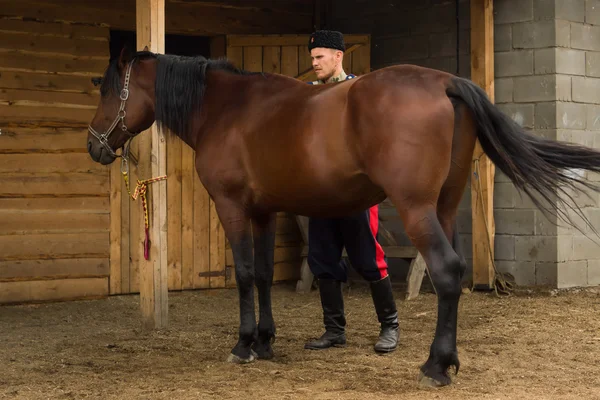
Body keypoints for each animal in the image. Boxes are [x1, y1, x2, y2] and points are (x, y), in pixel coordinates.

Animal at [86, 47, 600, 388]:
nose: (94, 145)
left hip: (416, 209)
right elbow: (266, 273)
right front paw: (266, 342)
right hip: (447, 205)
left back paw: (436, 366)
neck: (227, 110)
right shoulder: (264, 211)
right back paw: (443, 360)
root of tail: (445, 82)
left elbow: (246, 274)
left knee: (446, 271)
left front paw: (244, 344)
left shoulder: (231, 206)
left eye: (110, 91)